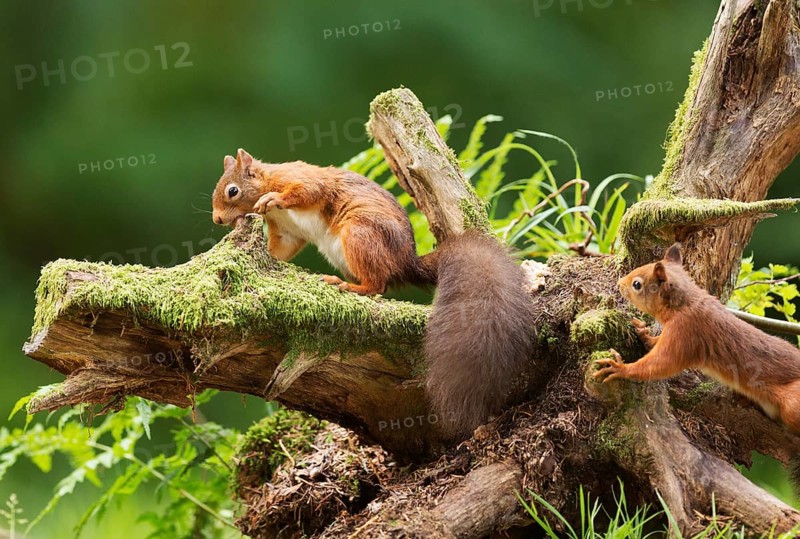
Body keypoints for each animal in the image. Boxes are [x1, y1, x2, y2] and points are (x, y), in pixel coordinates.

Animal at [212, 148, 536, 438]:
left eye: (232, 190)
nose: (216, 220)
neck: (267, 179)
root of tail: (406, 262)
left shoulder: (298, 178)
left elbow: (307, 190)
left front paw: (273, 199)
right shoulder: (286, 232)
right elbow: (280, 249)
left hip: (359, 233)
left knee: (377, 285)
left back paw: (348, 286)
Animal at [594, 242, 800, 432]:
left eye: (637, 284)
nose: (619, 283)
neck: (684, 304)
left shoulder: (686, 331)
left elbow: (662, 363)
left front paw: (621, 368)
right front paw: (644, 333)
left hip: (792, 404)